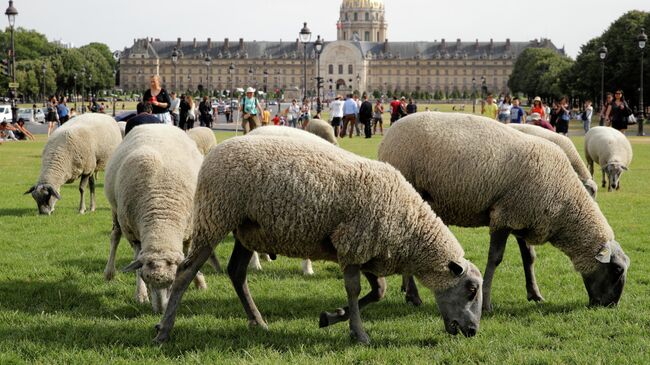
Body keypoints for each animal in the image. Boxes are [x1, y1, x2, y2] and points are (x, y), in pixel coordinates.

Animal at [103, 123, 208, 312]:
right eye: (147, 280)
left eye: (173, 281)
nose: (160, 310)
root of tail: (155, 124)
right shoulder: (133, 235)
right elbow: (137, 264)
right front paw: (141, 295)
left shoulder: (190, 229)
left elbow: (189, 255)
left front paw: (199, 281)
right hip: (116, 210)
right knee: (115, 236)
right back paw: (109, 272)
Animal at [154, 135, 484, 342]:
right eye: (470, 290)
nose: (473, 331)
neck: (411, 227)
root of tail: (214, 151)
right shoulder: (353, 244)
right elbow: (354, 290)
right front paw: (359, 333)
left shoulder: (367, 251)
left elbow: (378, 291)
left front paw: (331, 316)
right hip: (216, 216)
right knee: (185, 273)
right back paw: (163, 331)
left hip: (246, 230)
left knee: (236, 272)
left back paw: (258, 321)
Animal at [380, 111, 628, 310]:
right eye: (616, 270)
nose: (611, 305)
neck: (564, 202)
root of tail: (391, 131)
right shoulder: (503, 217)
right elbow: (495, 259)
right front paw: (486, 303)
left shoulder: (524, 219)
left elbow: (529, 258)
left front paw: (535, 294)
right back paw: (413, 296)